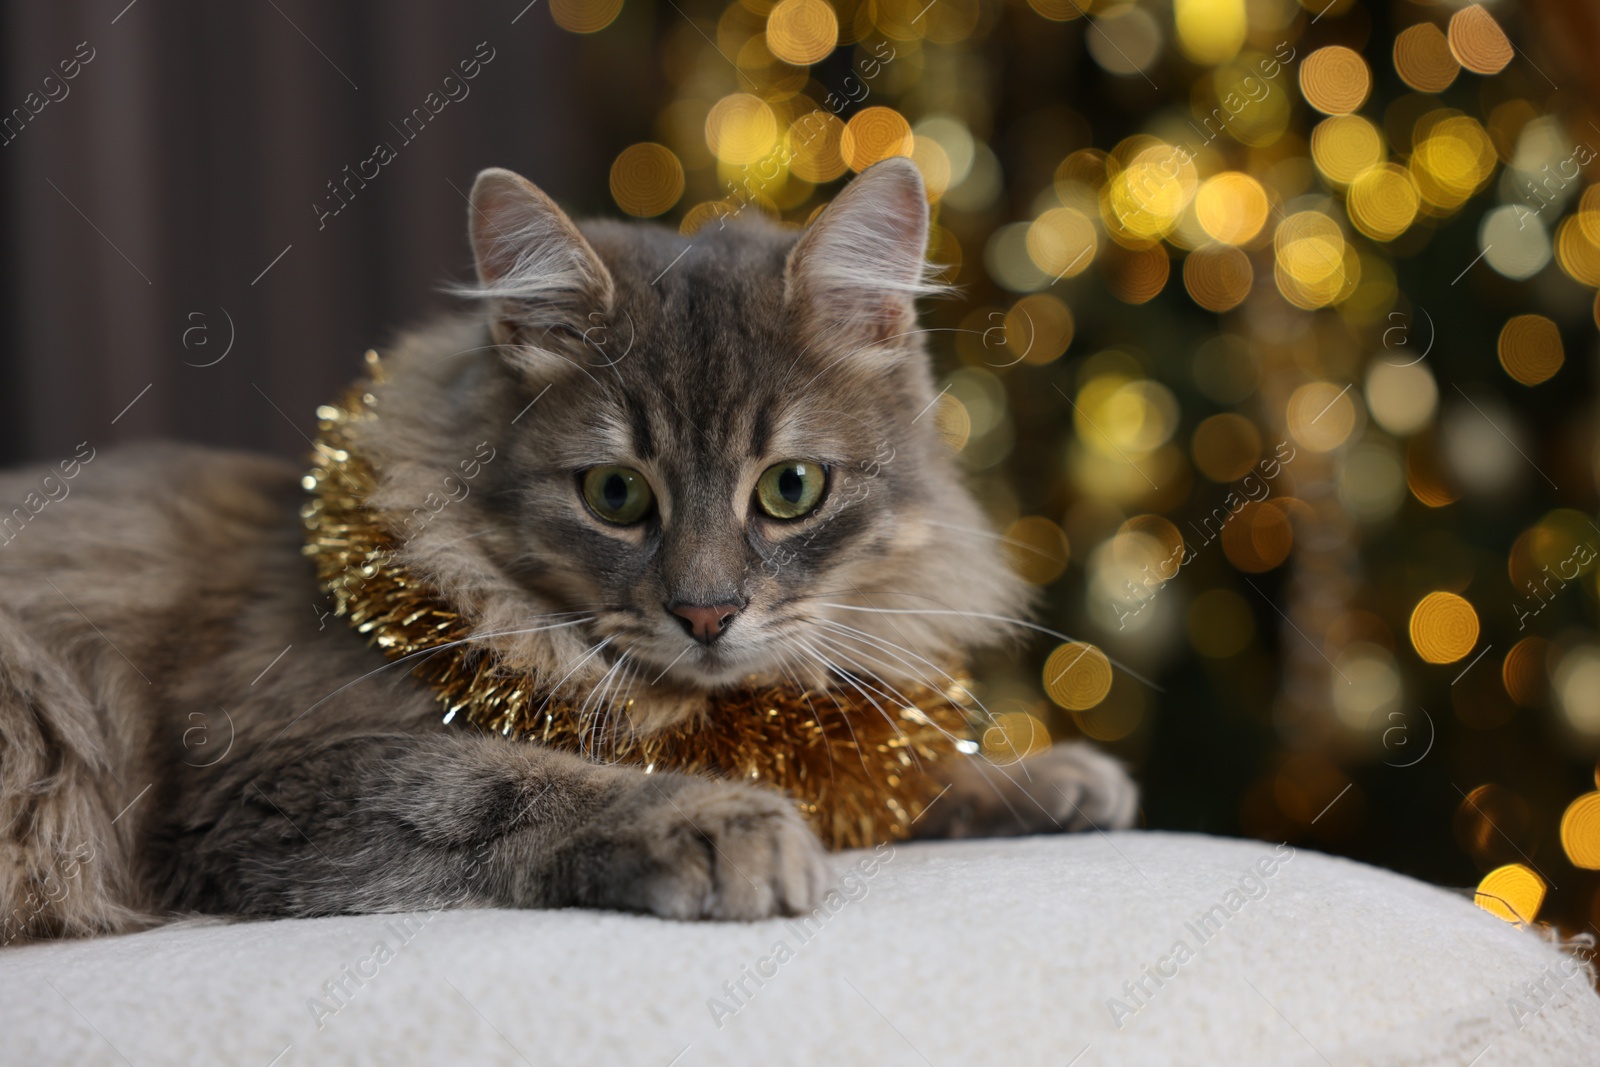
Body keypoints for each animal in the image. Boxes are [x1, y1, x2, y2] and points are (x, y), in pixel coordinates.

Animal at [0, 158, 1139, 940]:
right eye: (615, 494)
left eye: (790, 488)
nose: (707, 611)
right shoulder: (260, 776)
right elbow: (518, 776)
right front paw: (723, 819)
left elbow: (886, 771)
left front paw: (1045, 777)